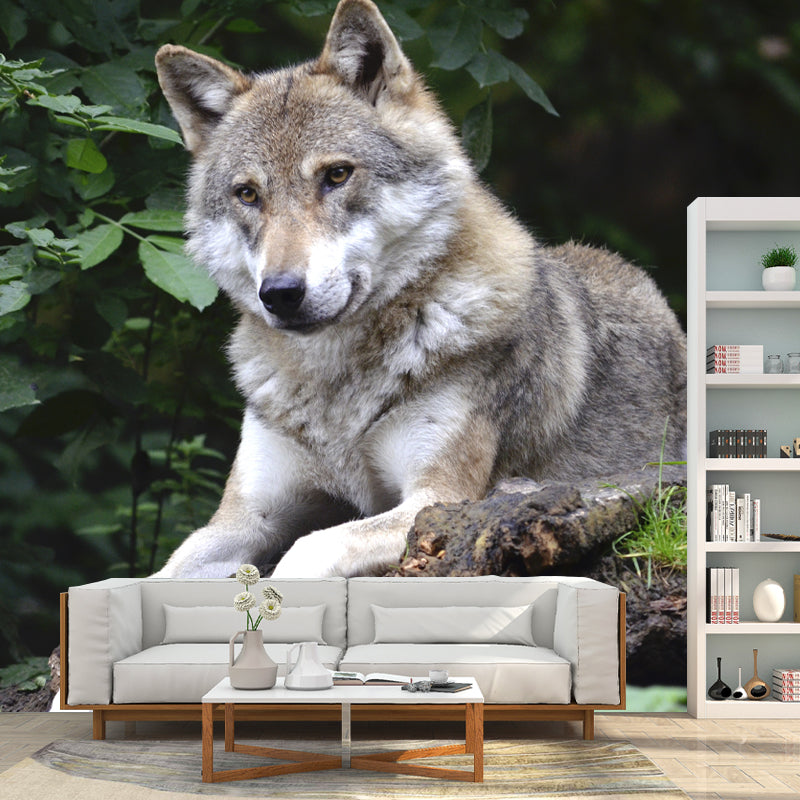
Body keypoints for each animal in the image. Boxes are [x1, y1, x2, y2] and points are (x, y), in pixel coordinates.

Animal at [153, 0, 686, 579]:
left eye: (336, 175)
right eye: (248, 194)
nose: (281, 293)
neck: (335, 386)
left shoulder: (439, 499)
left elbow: (309, 548)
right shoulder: (245, 519)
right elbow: (153, 572)